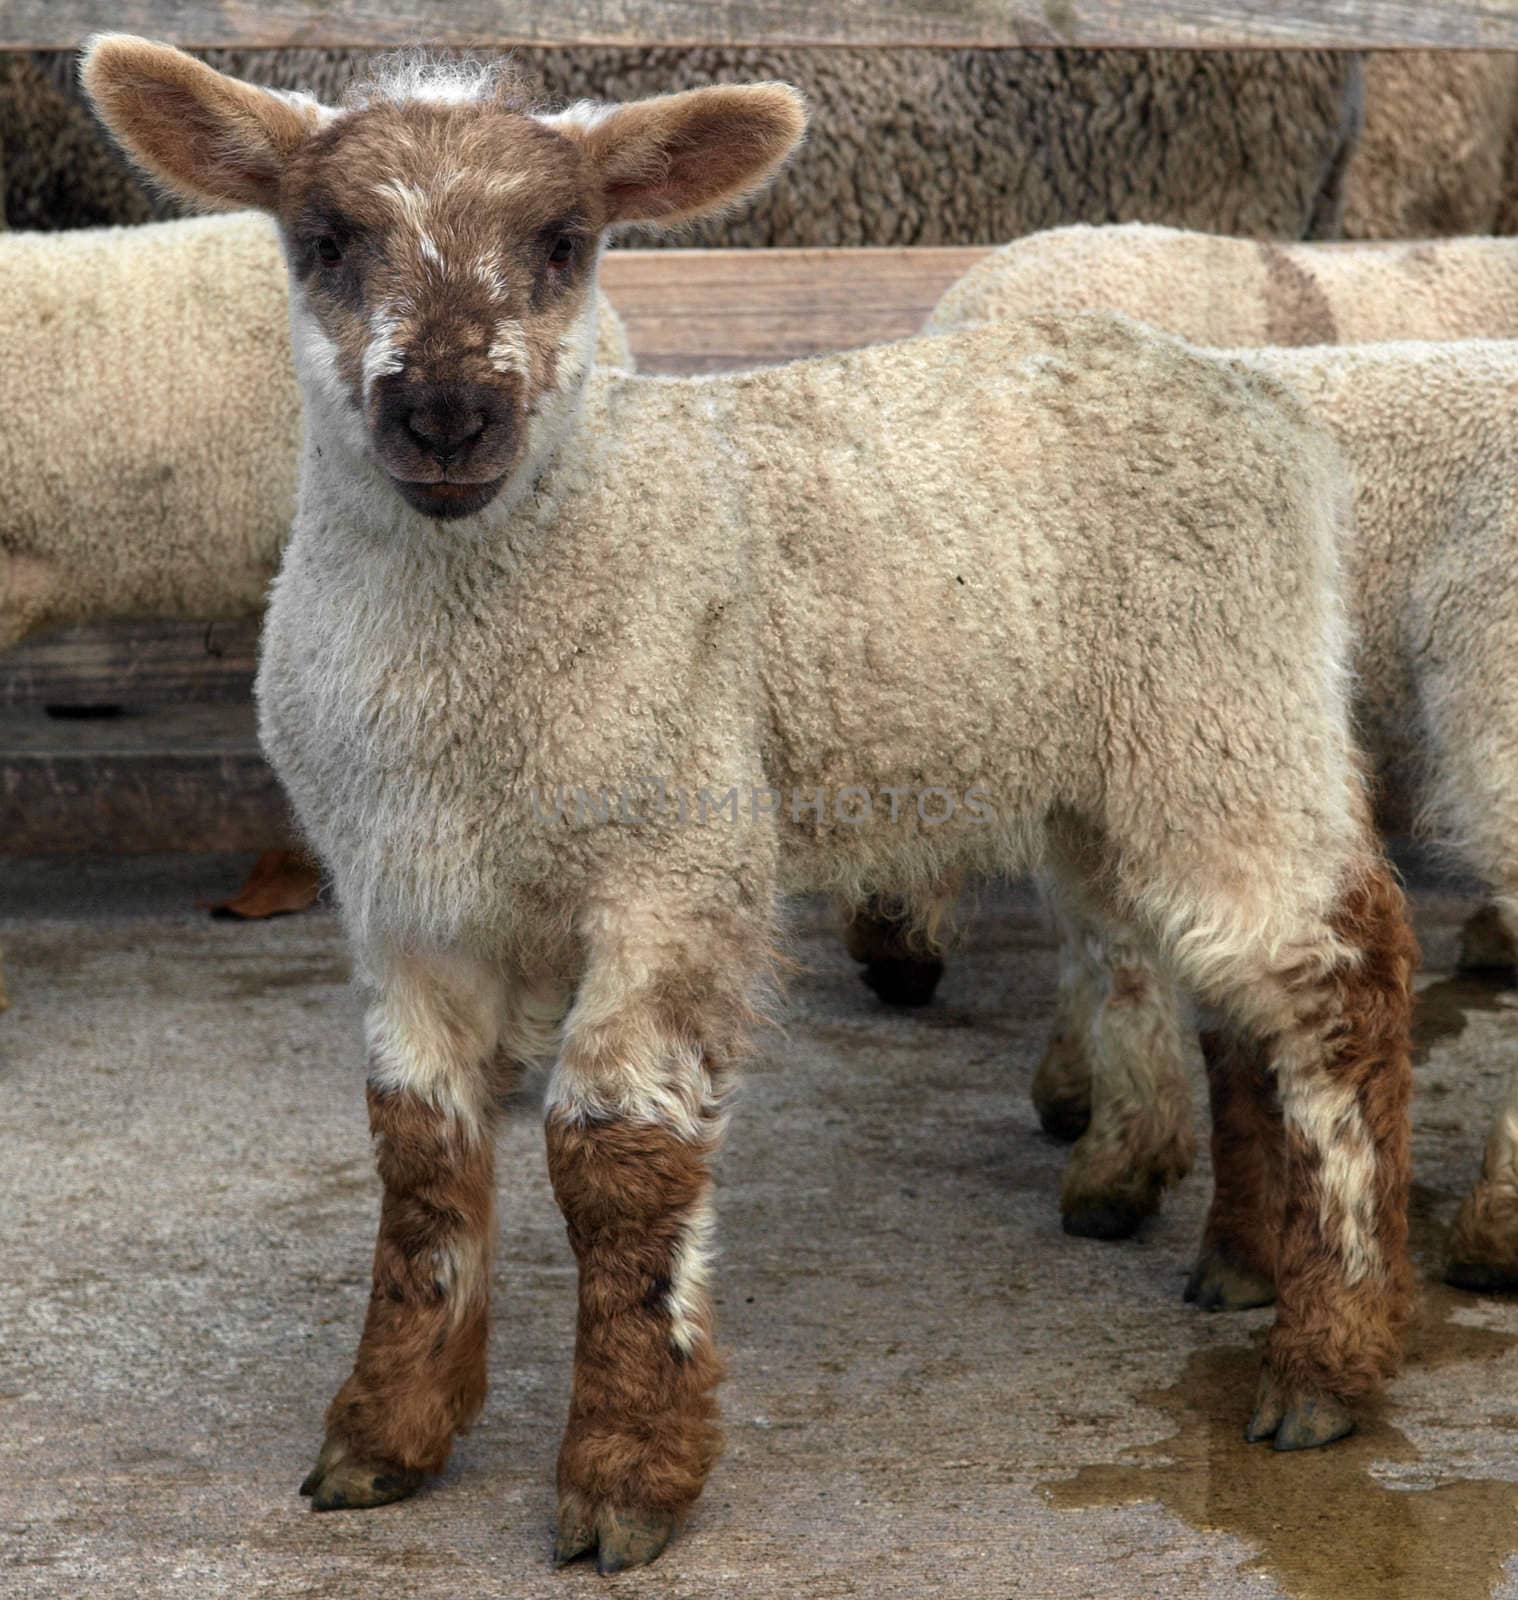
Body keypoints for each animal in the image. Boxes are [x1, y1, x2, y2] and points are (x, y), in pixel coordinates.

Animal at [85, 37, 1420, 1574]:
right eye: (324, 240)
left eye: (566, 243)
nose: (447, 415)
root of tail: (1263, 402)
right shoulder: (402, 898)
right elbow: (417, 1156)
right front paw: (382, 1436)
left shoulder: (680, 852)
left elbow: (618, 1157)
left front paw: (626, 1474)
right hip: (1127, 770)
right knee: (1233, 1000)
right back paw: (1241, 1267)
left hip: (1226, 704)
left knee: (1341, 978)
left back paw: (1330, 1359)